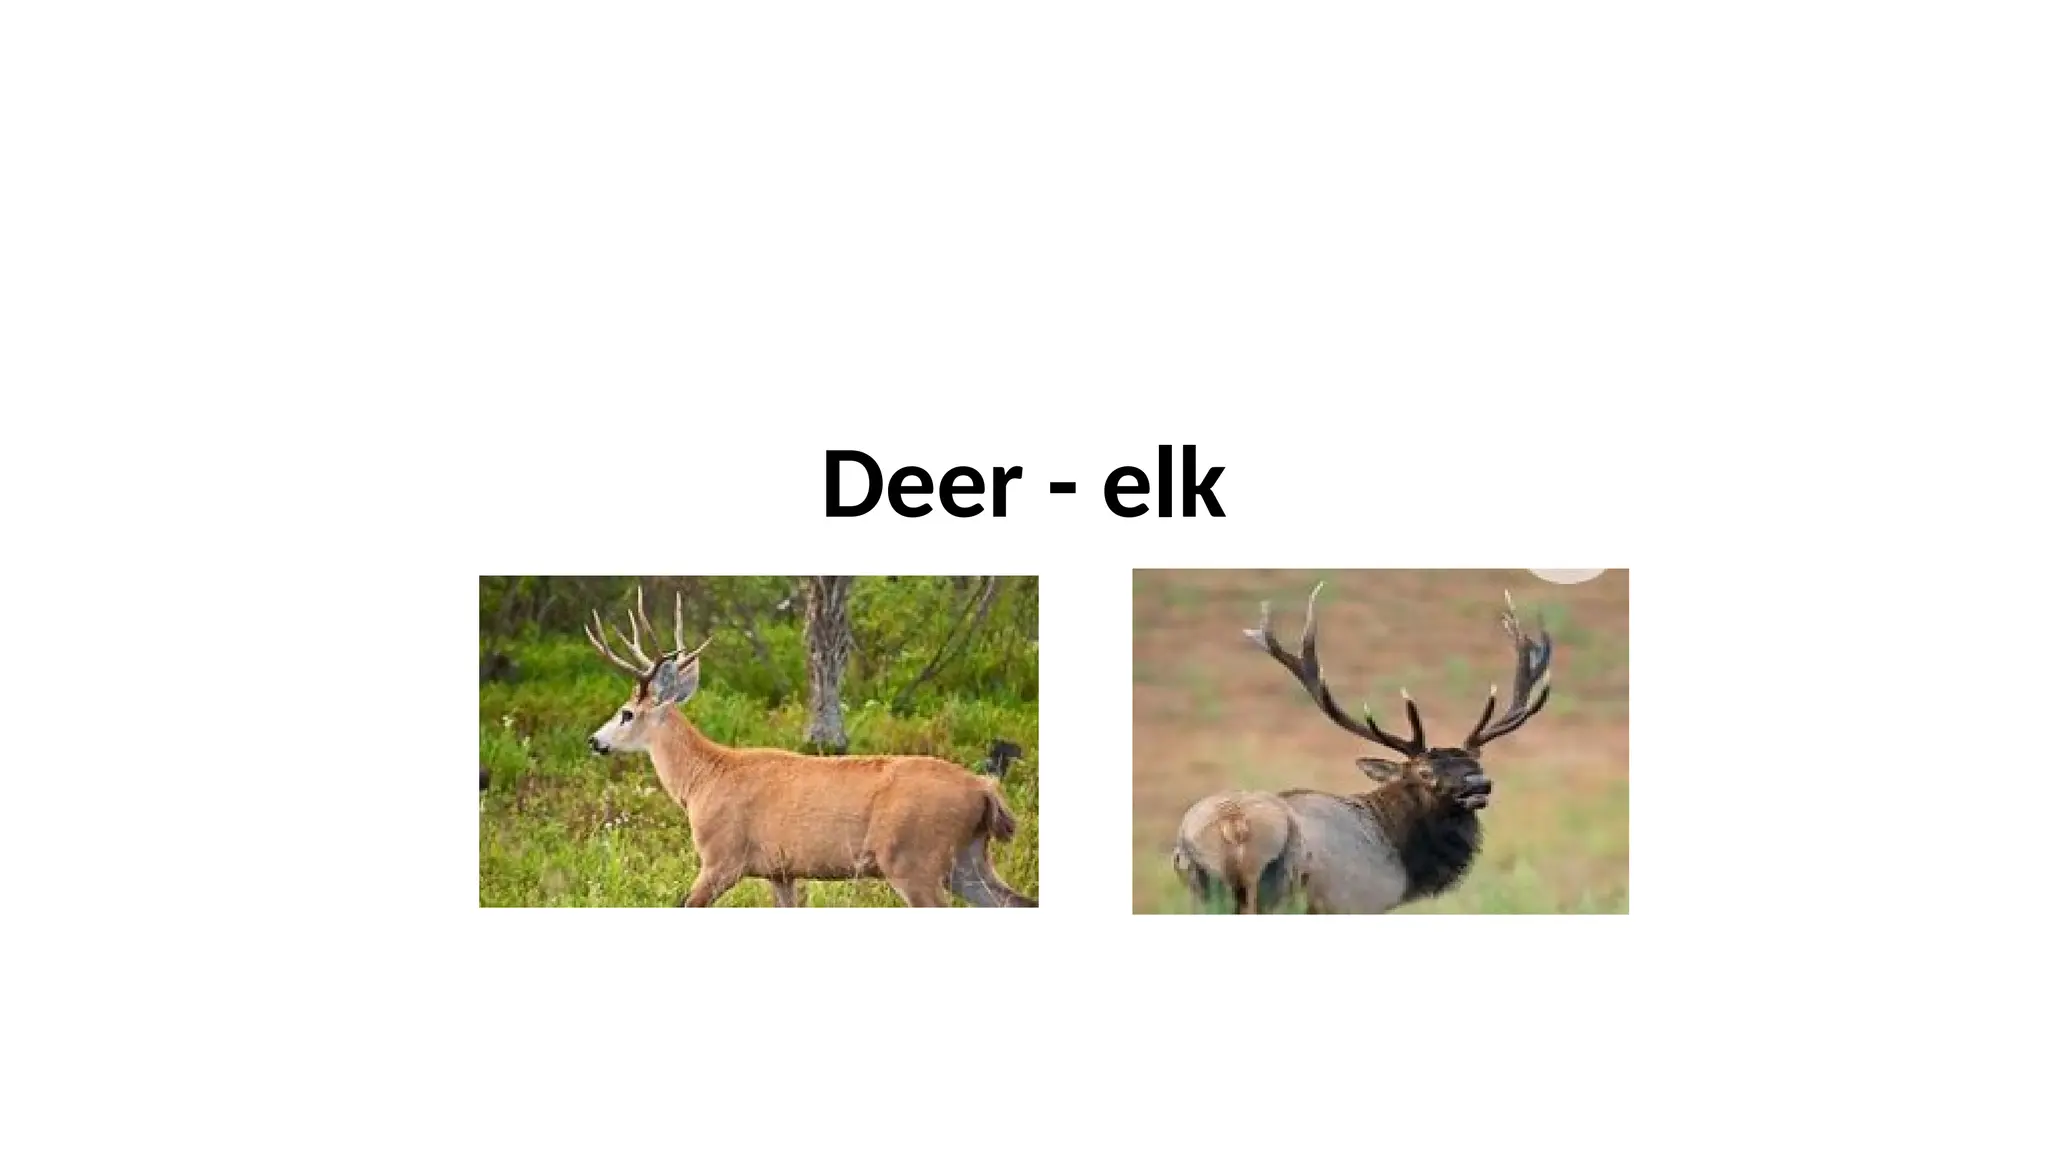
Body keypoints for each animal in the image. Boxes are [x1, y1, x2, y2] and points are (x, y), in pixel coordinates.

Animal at [583, 586, 1036, 909]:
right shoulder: (781, 870)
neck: (702, 780)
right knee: (1018, 902)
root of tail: (985, 789)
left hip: (915, 860)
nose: (594, 741)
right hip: (967, 860)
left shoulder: (721, 858)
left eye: (626, 713)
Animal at [1170, 582, 1554, 914]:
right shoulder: (1357, 902)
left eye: (1477, 762)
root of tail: (1233, 827)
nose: (1478, 786)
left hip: (1203, 891)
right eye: (1424, 771)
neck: (1402, 863)